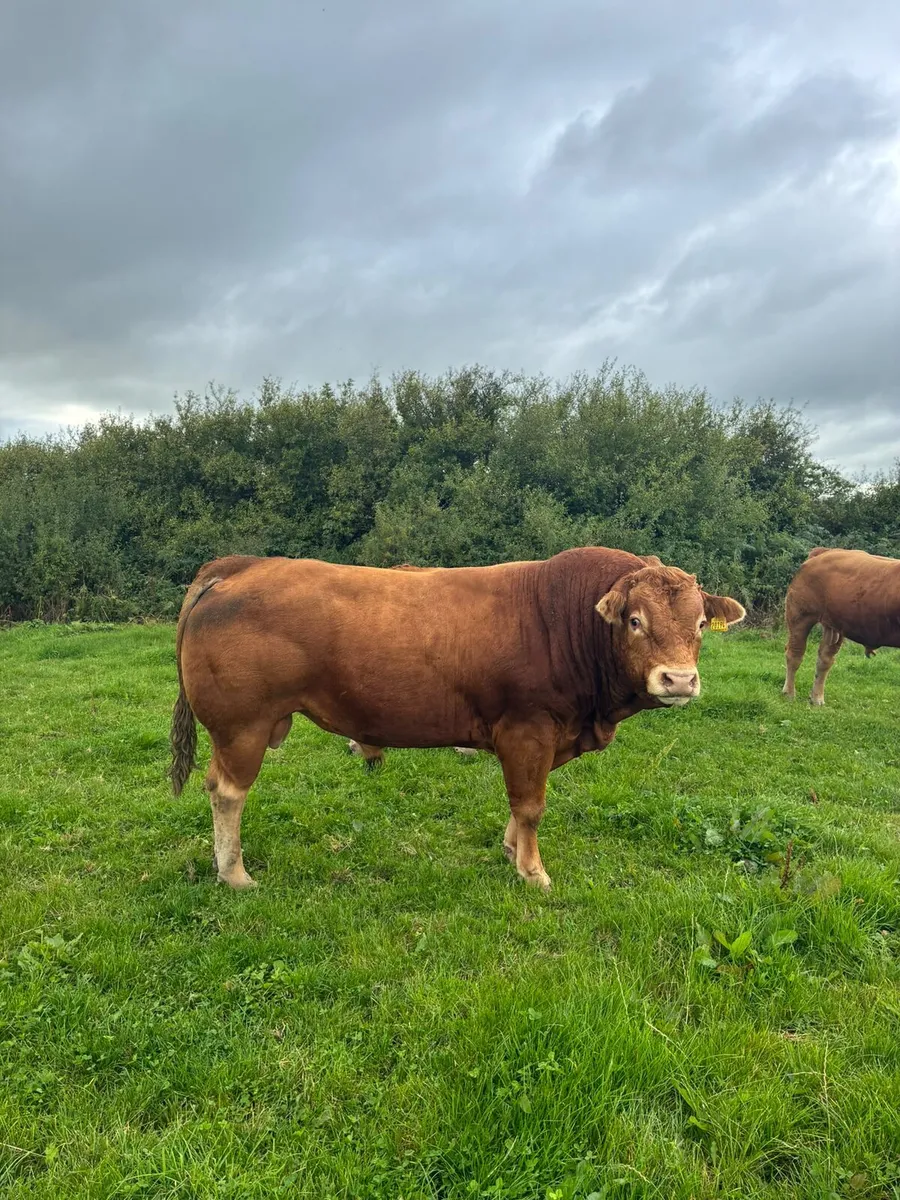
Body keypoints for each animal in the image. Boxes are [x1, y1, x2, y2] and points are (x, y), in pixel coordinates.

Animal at [169, 548, 745, 891]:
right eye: (634, 620)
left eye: (699, 623)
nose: (679, 680)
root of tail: (239, 565)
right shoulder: (528, 728)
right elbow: (531, 804)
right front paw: (532, 871)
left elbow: (520, 803)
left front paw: (510, 850)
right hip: (242, 726)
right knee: (227, 792)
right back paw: (234, 872)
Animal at [783, 546, 900, 705]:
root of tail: (826, 552)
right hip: (800, 615)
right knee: (795, 654)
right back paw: (789, 694)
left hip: (835, 625)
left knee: (824, 660)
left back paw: (817, 699)